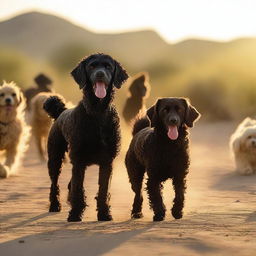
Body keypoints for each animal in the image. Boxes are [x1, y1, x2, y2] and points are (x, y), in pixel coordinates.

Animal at [43, 53, 130, 221]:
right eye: (92, 66)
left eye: (108, 66)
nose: (100, 74)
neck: (97, 112)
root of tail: (61, 112)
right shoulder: (78, 160)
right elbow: (78, 189)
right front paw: (75, 214)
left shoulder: (107, 162)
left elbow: (103, 190)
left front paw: (104, 214)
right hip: (55, 159)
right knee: (54, 184)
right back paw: (55, 205)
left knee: (70, 184)